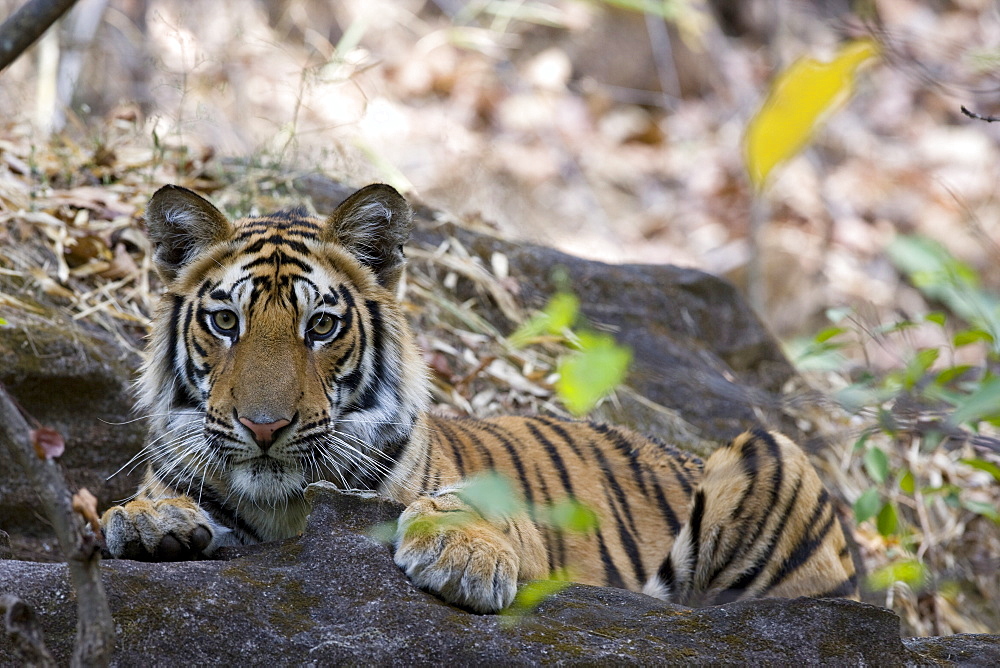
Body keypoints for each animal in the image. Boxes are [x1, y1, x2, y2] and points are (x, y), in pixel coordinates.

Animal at [101, 183, 860, 612]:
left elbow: (467, 501)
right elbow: (154, 499)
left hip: (770, 449)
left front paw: (462, 556)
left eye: (320, 326)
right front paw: (149, 519)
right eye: (225, 322)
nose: (264, 428)